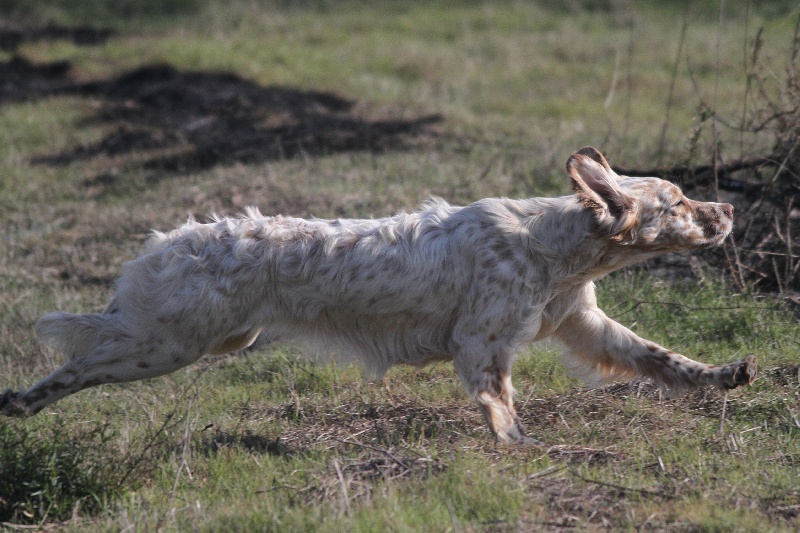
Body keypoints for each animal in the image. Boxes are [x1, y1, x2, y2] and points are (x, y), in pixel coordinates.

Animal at [0, 148, 756, 442]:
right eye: (679, 200)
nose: (730, 209)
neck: (554, 247)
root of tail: (166, 242)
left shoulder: (584, 324)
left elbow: (660, 357)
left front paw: (726, 374)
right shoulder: (481, 342)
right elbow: (501, 404)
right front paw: (518, 445)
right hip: (166, 344)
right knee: (76, 363)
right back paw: (18, 401)